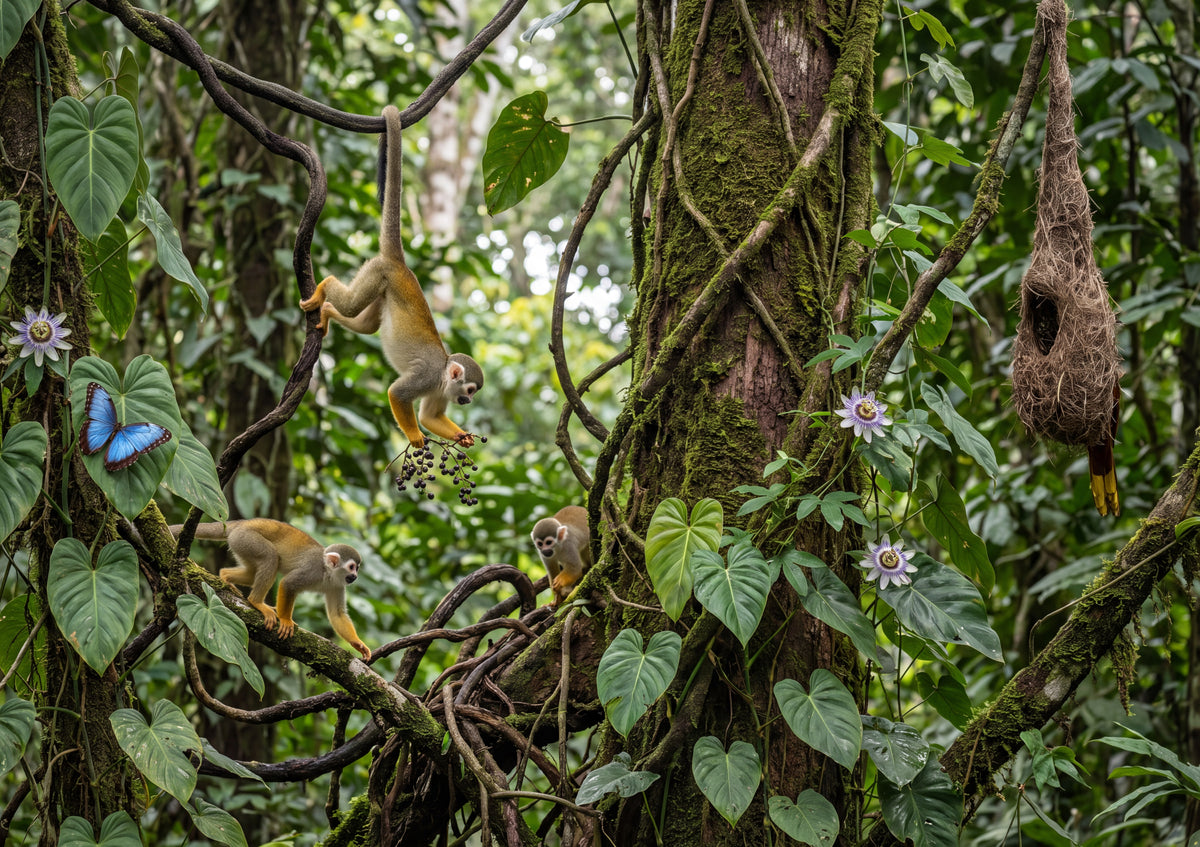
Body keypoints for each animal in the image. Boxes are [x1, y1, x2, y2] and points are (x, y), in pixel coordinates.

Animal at [171, 519, 371, 659]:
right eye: (352, 567)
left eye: (357, 568)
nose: (355, 576)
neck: (328, 573)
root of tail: (241, 523)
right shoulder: (311, 571)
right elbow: (288, 584)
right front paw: (285, 620)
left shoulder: (338, 585)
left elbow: (337, 614)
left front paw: (358, 644)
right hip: (246, 539)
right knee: (271, 557)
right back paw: (256, 602)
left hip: (241, 544)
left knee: (253, 571)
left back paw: (225, 576)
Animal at [300, 104, 483, 449]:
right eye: (469, 390)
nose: (467, 402)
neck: (442, 377)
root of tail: (401, 265)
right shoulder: (425, 378)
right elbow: (396, 393)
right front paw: (416, 438)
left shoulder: (440, 390)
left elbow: (430, 416)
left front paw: (462, 436)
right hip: (376, 272)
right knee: (352, 305)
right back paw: (324, 289)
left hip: (382, 288)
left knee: (367, 324)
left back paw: (327, 310)